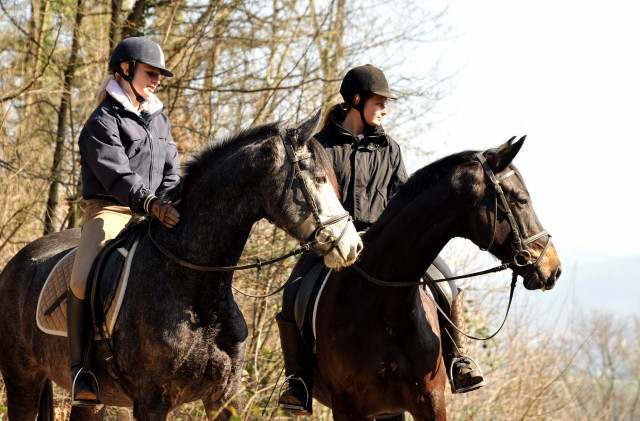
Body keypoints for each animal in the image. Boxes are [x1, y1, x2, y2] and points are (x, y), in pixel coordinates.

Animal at [0, 111, 362, 420]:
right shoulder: (151, 401)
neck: (195, 288)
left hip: (90, 401)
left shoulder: (224, 397)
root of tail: (17, 263)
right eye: (319, 178)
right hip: (22, 383)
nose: (353, 245)